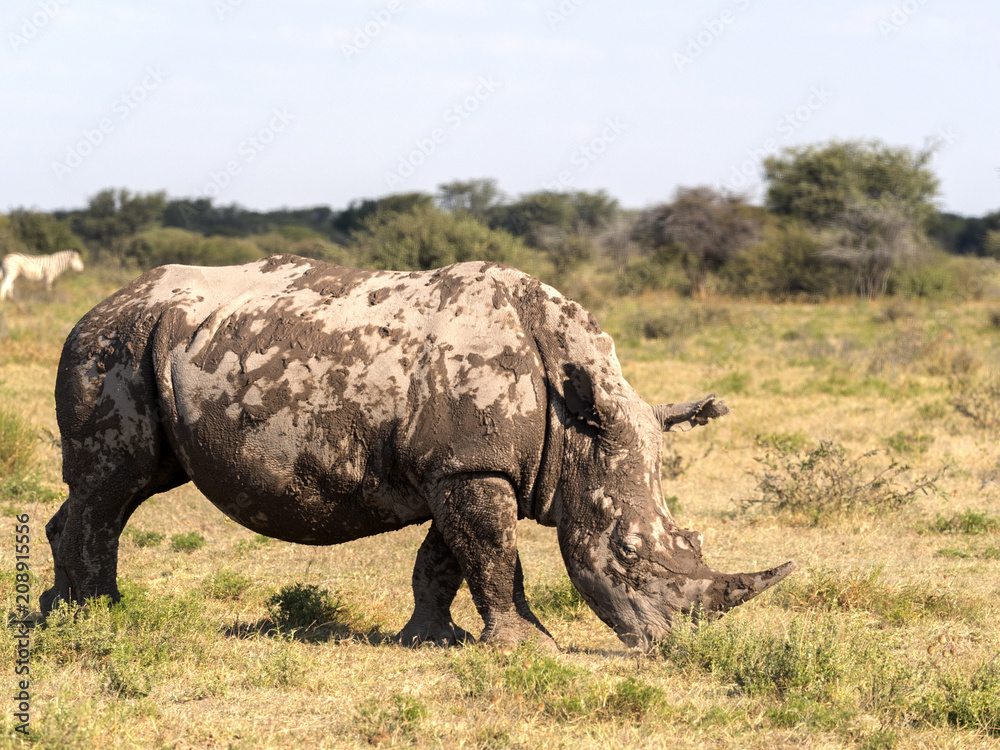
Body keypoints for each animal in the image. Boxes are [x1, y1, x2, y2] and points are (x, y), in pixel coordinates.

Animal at [40, 255, 793, 650]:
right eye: (628, 553)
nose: (674, 645)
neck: (575, 425)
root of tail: (96, 305)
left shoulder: (459, 466)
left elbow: (447, 558)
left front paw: (435, 640)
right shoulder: (471, 467)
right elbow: (494, 555)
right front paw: (530, 647)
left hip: (149, 344)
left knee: (117, 487)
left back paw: (53, 611)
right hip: (114, 345)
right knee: (113, 487)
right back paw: (105, 618)